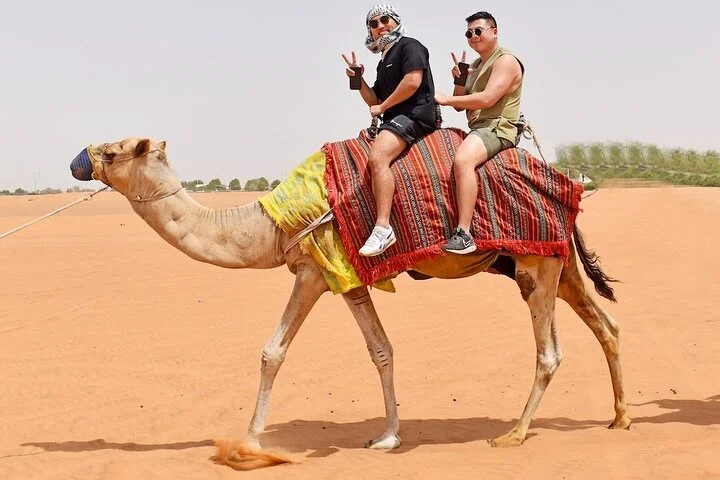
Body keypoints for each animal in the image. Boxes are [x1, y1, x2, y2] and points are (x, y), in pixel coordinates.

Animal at [70, 137, 630, 452]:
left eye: (114, 151)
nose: (78, 160)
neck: (272, 222)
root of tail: (568, 187)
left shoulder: (312, 270)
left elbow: (272, 351)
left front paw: (249, 439)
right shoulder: (350, 280)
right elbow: (381, 350)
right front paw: (388, 436)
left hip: (536, 267)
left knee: (550, 352)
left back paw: (514, 433)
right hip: (554, 261)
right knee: (607, 325)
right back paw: (620, 418)